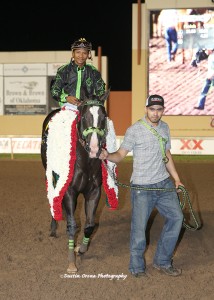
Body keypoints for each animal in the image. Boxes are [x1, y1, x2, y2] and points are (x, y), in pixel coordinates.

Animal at [40, 90, 117, 274]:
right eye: (83, 116)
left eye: (104, 116)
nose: (95, 148)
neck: (85, 162)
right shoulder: (70, 191)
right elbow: (72, 225)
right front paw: (71, 263)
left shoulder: (94, 191)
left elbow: (89, 225)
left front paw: (80, 249)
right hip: (50, 174)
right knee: (53, 196)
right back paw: (53, 227)